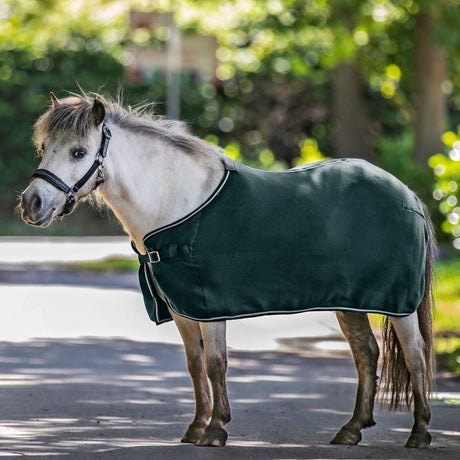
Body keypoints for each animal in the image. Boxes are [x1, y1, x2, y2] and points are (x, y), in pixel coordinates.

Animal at [18, 93, 434, 450]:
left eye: (78, 152)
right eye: (45, 147)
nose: (31, 204)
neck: (177, 202)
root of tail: (408, 195)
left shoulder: (208, 306)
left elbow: (216, 364)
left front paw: (216, 429)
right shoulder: (182, 310)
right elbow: (194, 365)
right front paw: (196, 427)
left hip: (399, 304)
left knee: (415, 355)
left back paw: (419, 433)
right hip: (351, 303)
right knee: (367, 354)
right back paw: (351, 430)